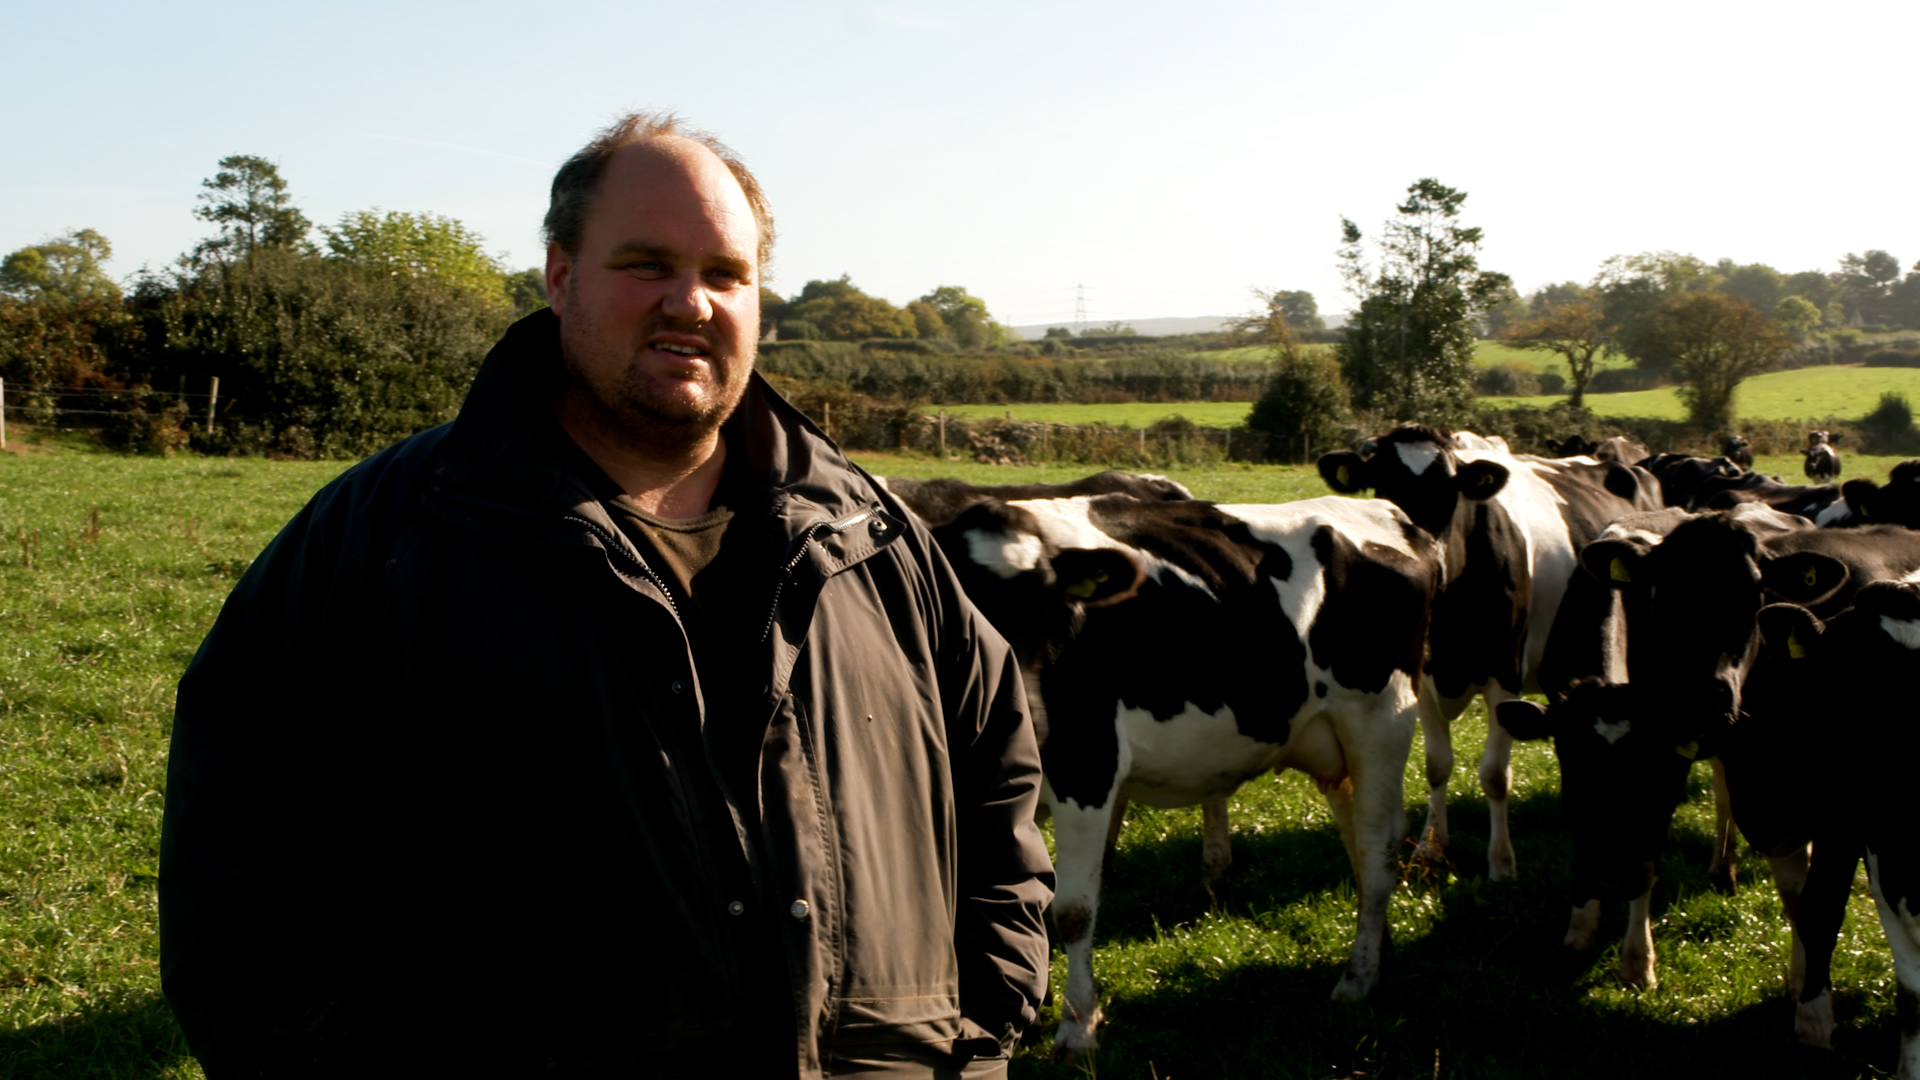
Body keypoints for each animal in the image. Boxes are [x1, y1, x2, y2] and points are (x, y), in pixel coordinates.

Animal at [913, 491, 1443, 1045]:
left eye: (1052, 613)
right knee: (1359, 841)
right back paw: (1379, 957)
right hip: (1332, 743)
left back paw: (1356, 981)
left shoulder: (1088, 765)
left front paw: (1078, 1026)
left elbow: (1074, 909)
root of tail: (1395, 518)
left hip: (1381, 719)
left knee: (1379, 851)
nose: (1028, 718)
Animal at [1320, 424, 1666, 880]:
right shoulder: (1420, 675)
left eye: (1452, 492)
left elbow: (1495, 775)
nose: (1429, 561)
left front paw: (1501, 863)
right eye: (1385, 491)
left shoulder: (1506, 674)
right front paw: (1431, 849)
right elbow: (1436, 764)